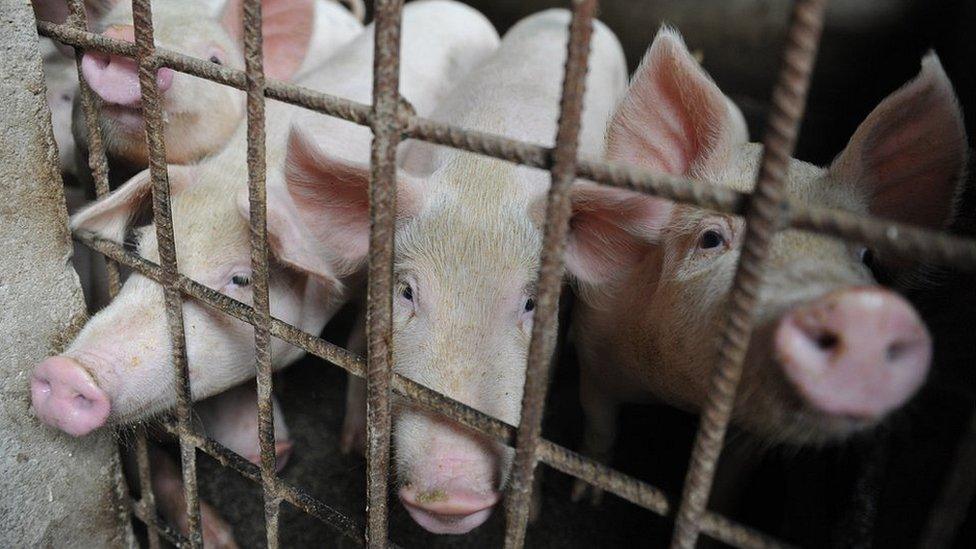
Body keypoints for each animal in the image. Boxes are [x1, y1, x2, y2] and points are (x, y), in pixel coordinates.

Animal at [280, 7, 632, 532]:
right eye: (407, 292)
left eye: (531, 303)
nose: (450, 494)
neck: (484, 178)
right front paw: (356, 448)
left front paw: (531, 514)